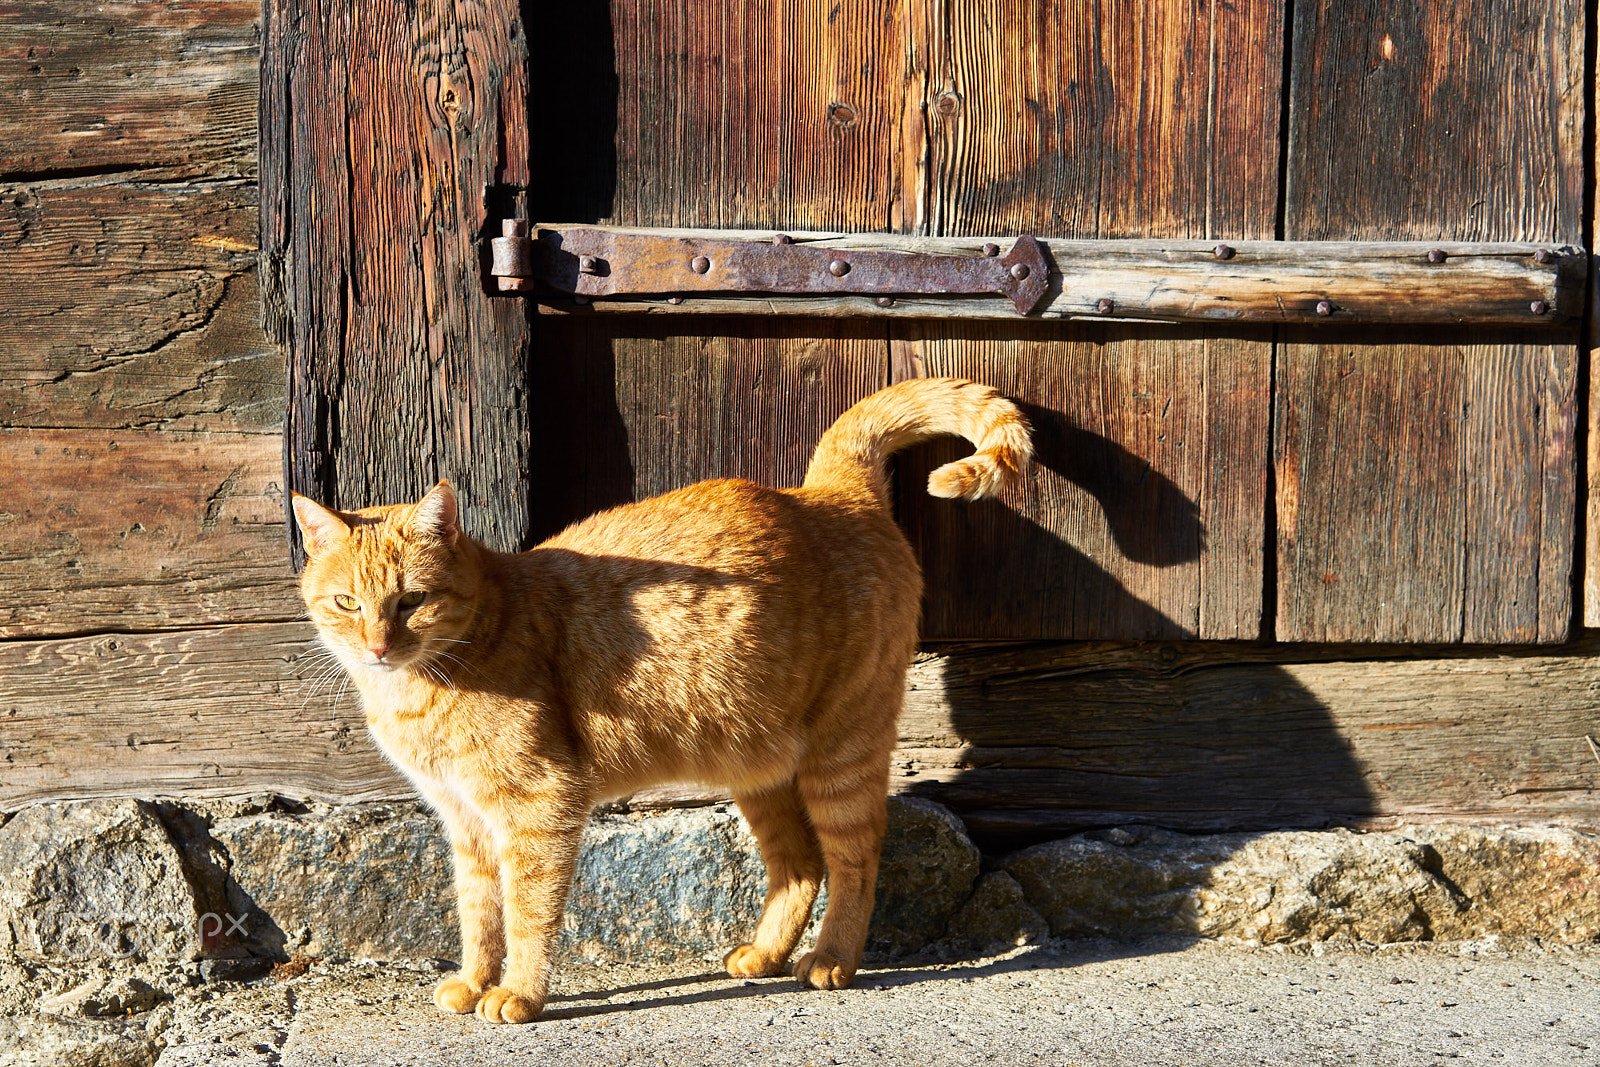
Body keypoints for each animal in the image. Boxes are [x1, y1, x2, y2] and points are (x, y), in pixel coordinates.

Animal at [292, 379, 1030, 1023]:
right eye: (347, 602)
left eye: (411, 600)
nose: (378, 645)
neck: (426, 683)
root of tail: (828, 489)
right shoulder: (465, 820)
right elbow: (480, 914)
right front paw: (475, 982)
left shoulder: (538, 809)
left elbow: (528, 913)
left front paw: (518, 995)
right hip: (759, 766)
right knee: (800, 864)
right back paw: (765, 954)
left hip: (841, 752)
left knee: (855, 858)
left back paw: (830, 959)